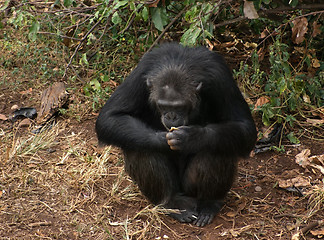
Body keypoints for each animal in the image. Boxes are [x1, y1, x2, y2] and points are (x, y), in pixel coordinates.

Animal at [95, 43, 256, 227]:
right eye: (163, 105)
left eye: (180, 106)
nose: (171, 116)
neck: (178, 64)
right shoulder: (141, 73)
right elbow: (110, 117)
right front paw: (162, 141)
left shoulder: (220, 77)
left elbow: (244, 126)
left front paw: (191, 138)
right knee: (138, 146)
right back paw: (171, 203)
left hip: (190, 187)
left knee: (219, 145)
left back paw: (209, 204)